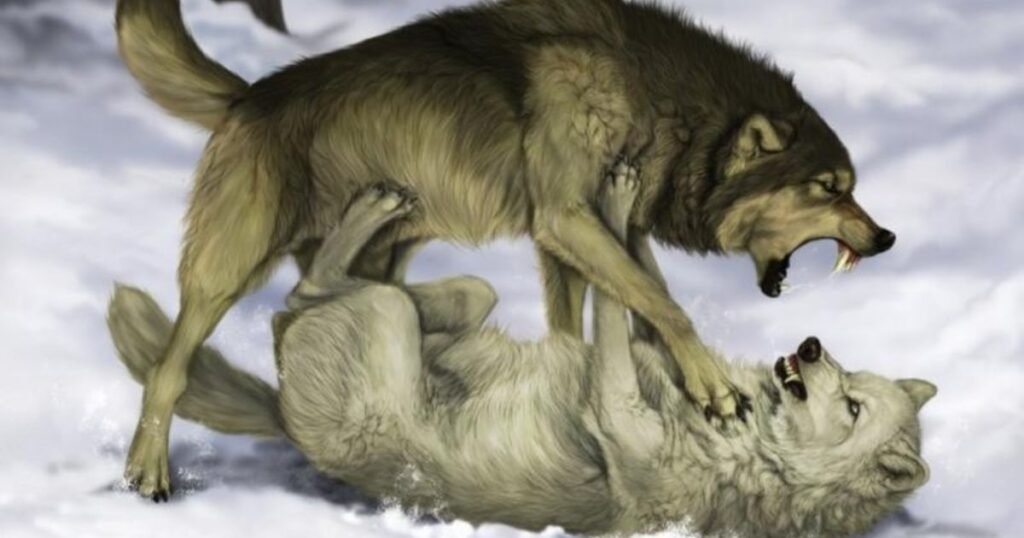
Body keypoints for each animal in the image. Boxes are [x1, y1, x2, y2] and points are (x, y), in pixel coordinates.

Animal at [107, 171, 931, 537]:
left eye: (851, 405)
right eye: (853, 380)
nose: (812, 346)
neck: (755, 456)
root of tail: (282, 414)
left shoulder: (617, 405)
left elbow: (614, 316)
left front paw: (616, 199)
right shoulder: (643, 349)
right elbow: (641, 290)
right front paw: (622, 208)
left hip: (377, 324)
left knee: (304, 292)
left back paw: (373, 210)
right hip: (462, 299)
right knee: (335, 289)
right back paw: (383, 211)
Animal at [114, 0, 897, 498]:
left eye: (851, 188)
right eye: (829, 188)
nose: (886, 237)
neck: (654, 100)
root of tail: (248, 95)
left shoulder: (589, 238)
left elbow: (618, 310)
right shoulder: (566, 220)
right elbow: (664, 303)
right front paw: (713, 389)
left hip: (396, 262)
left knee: (320, 304)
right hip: (225, 273)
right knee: (169, 369)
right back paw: (147, 472)